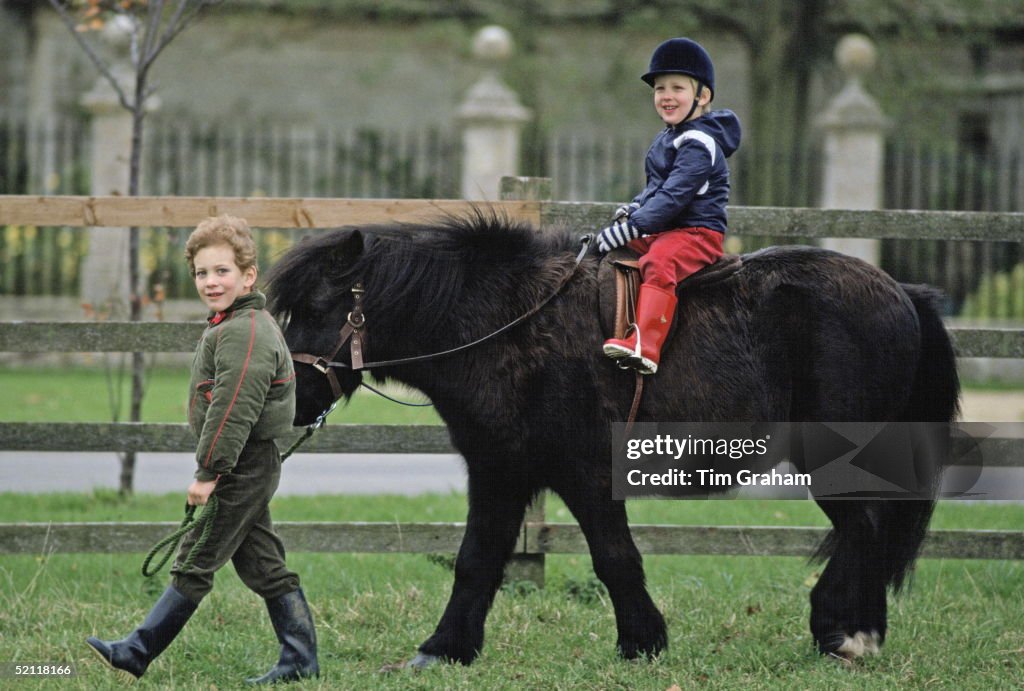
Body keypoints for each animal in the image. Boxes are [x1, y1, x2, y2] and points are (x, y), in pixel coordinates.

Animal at [266, 214, 958, 671]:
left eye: (318, 307)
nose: (288, 394)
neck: (506, 325)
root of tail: (904, 291)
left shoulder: (586, 476)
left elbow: (615, 558)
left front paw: (642, 641)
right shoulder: (500, 472)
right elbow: (476, 561)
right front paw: (444, 650)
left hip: (835, 462)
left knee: (863, 532)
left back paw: (845, 632)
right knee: (868, 534)